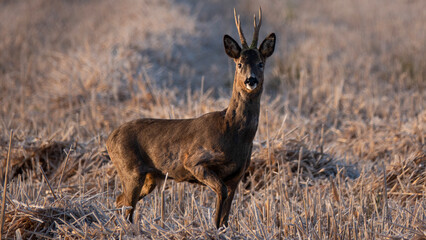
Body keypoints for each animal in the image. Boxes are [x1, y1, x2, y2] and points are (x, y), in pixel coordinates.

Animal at [106, 7, 276, 229]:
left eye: (260, 63)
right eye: (239, 64)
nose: (251, 80)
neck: (234, 132)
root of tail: (109, 139)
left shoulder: (237, 175)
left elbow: (226, 216)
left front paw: (222, 230)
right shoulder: (194, 161)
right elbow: (220, 196)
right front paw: (212, 229)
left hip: (150, 176)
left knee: (120, 201)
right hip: (130, 169)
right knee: (127, 206)